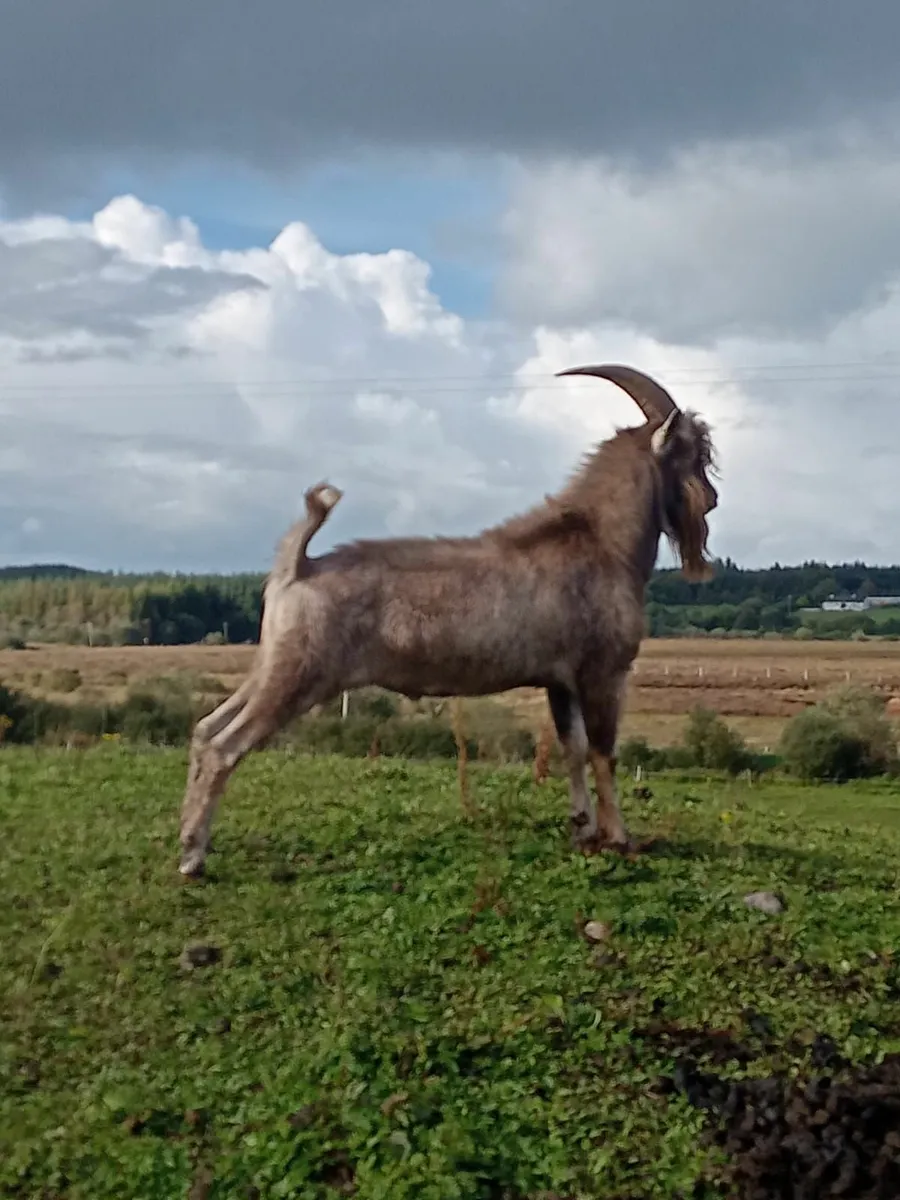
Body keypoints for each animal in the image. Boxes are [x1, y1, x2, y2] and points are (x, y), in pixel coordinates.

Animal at [178, 364, 718, 876]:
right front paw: (620, 838)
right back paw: (192, 857)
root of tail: (298, 567)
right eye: (694, 453)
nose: (711, 499)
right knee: (226, 745)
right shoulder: (603, 671)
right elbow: (604, 751)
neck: (601, 542)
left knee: (206, 728)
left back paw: (186, 835)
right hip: (298, 675)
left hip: (271, 665)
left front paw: (583, 830)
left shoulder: (559, 680)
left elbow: (573, 749)